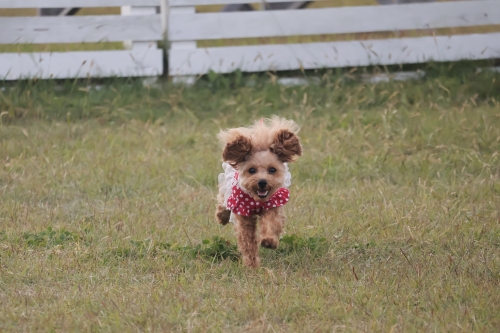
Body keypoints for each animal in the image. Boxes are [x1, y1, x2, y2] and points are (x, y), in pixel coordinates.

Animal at [214, 116, 300, 268]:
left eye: (272, 169)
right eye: (252, 170)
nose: (262, 182)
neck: (256, 201)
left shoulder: (274, 204)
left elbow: (272, 223)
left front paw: (269, 241)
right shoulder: (243, 214)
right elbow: (248, 242)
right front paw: (252, 265)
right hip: (227, 189)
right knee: (223, 202)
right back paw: (221, 216)